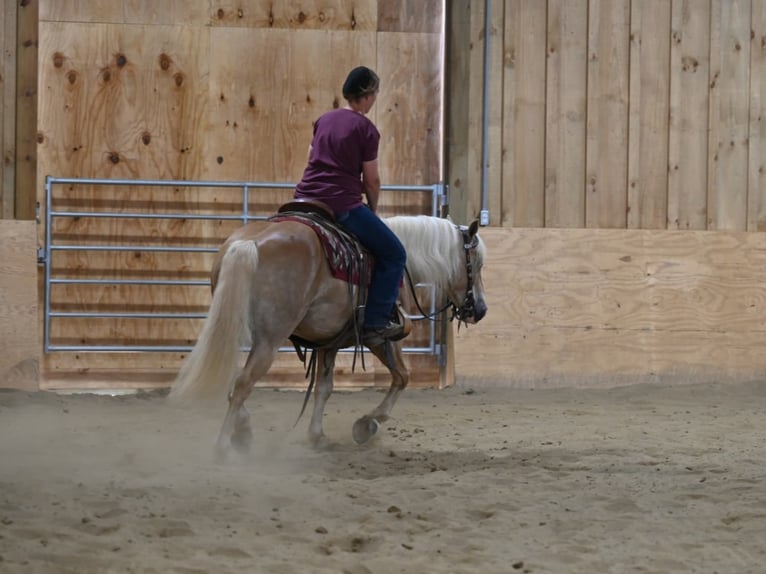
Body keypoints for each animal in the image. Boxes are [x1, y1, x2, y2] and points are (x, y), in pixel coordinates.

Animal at [170, 214, 488, 462]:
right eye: (477, 263)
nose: (481, 310)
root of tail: (250, 243)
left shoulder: (328, 342)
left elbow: (324, 388)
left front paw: (317, 435)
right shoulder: (381, 337)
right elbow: (402, 376)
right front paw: (366, 424)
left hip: (235, 326)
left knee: (232, 378)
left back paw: (243, 431)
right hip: (269, 339)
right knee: (243, 383)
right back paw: (224, 446)